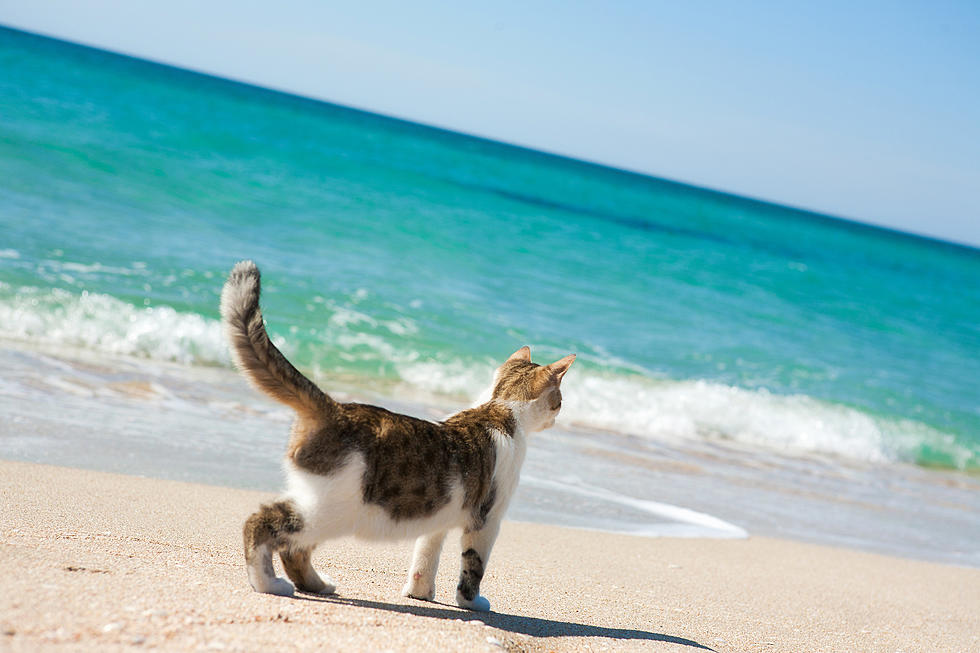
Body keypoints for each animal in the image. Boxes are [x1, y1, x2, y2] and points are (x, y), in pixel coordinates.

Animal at [222, 260, 576, 612]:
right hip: (330, 508)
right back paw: (268, 583)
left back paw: (317, 585)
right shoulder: (487, 520)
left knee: (294, 549)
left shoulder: (438, 517)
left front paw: (420, 593)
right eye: (559, 400)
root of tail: (336, 409)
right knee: (261, 523)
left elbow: (425, 557)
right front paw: (471, 602)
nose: (559, 415)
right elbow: (473, 565)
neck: (500, 410)